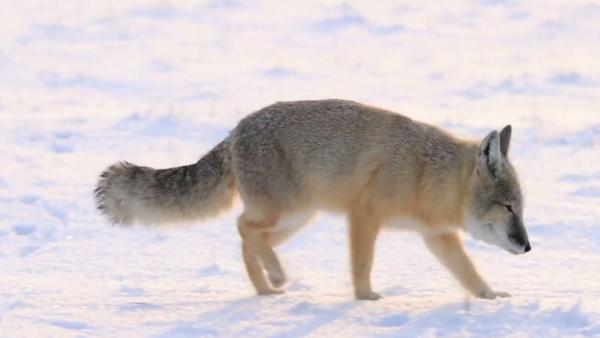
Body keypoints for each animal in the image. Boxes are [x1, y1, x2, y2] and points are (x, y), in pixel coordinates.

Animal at [96, 99, 532, 300]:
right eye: (508, 207)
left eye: (521, 209)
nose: (527, 247)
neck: (426, 173)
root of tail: (234, 132)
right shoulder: (364, 215)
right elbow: (361, 263)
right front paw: (365, 298)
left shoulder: (437, 236)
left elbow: (469, 272)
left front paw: (490, 297)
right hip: (287, 211)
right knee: (242, 227)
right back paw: (274, 278)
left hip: (295, 220)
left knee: (248, 240)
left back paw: (266, 287)